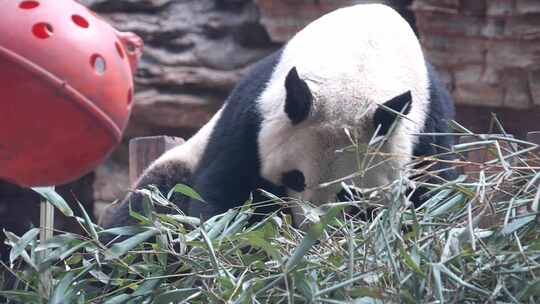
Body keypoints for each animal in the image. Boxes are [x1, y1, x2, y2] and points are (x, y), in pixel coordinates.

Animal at [101, 4, 456, 228]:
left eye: (349, 192)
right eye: (295, 177)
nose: (310, 229)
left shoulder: (427, 128)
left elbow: (432, 193)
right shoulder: (254, 114)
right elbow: (223, 192)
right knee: (146, 212)